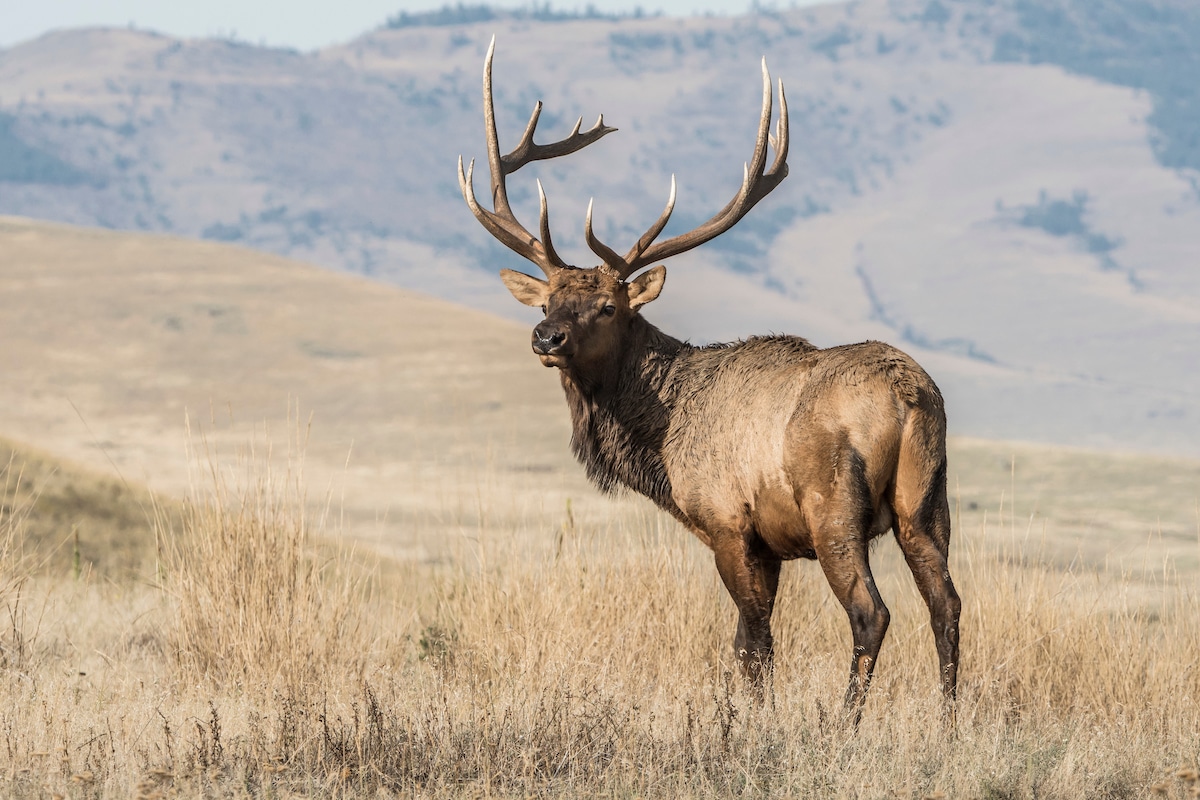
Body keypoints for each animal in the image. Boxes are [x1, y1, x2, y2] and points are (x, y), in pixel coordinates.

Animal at [458, 39, 961, 722]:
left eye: (608, 306)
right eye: (548, 303)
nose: (546, 338)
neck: (661, 440)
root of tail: (911, 398)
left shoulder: (729, 524)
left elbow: (752, 642)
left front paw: (753, 722)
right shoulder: (768, 544)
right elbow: (753, 644)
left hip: (834, 507)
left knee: (871, 612)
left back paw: (845, 722)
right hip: (926, 501)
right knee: (947, 604)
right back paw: (952, 721)